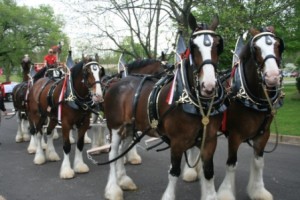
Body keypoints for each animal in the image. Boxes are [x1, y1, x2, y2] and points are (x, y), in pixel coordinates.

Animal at [102, 13, 225, 199]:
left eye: (218, 45)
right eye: (193, 46)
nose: (208, 86)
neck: (196, 103)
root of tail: (115, 83)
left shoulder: (209, 140)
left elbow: (208, 172)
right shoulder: (177, 141)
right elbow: (174, 172)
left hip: (130, 126)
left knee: (125, 147)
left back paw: (124, 180)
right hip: (115, 127)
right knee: (114, 153)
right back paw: (113, 189)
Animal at [217, 27, 284, 200]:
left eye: (278, 45)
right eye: (255, 48)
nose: (272, 76)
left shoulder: (263, 134)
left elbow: (259, 163)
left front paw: (258, 191)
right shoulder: (235, 135)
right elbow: (231, 163)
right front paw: (226, 192)